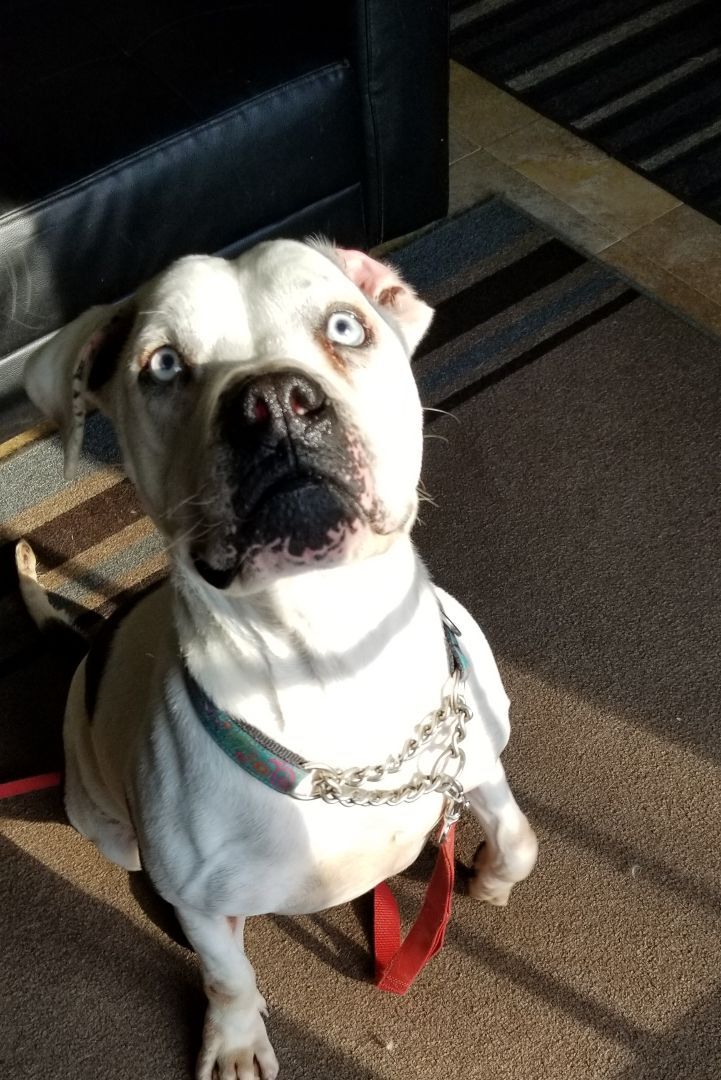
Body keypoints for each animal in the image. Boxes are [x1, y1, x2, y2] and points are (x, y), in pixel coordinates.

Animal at [18, 243, 535, 1080]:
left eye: (345, 326)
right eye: (163, 364)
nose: (272, 402)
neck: (329, 655)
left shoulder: (476, 762)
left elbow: (519, 839)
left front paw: (487, 878)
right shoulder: (199, 897)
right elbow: (227, 972)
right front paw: (234, 1039)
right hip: (104, 820)